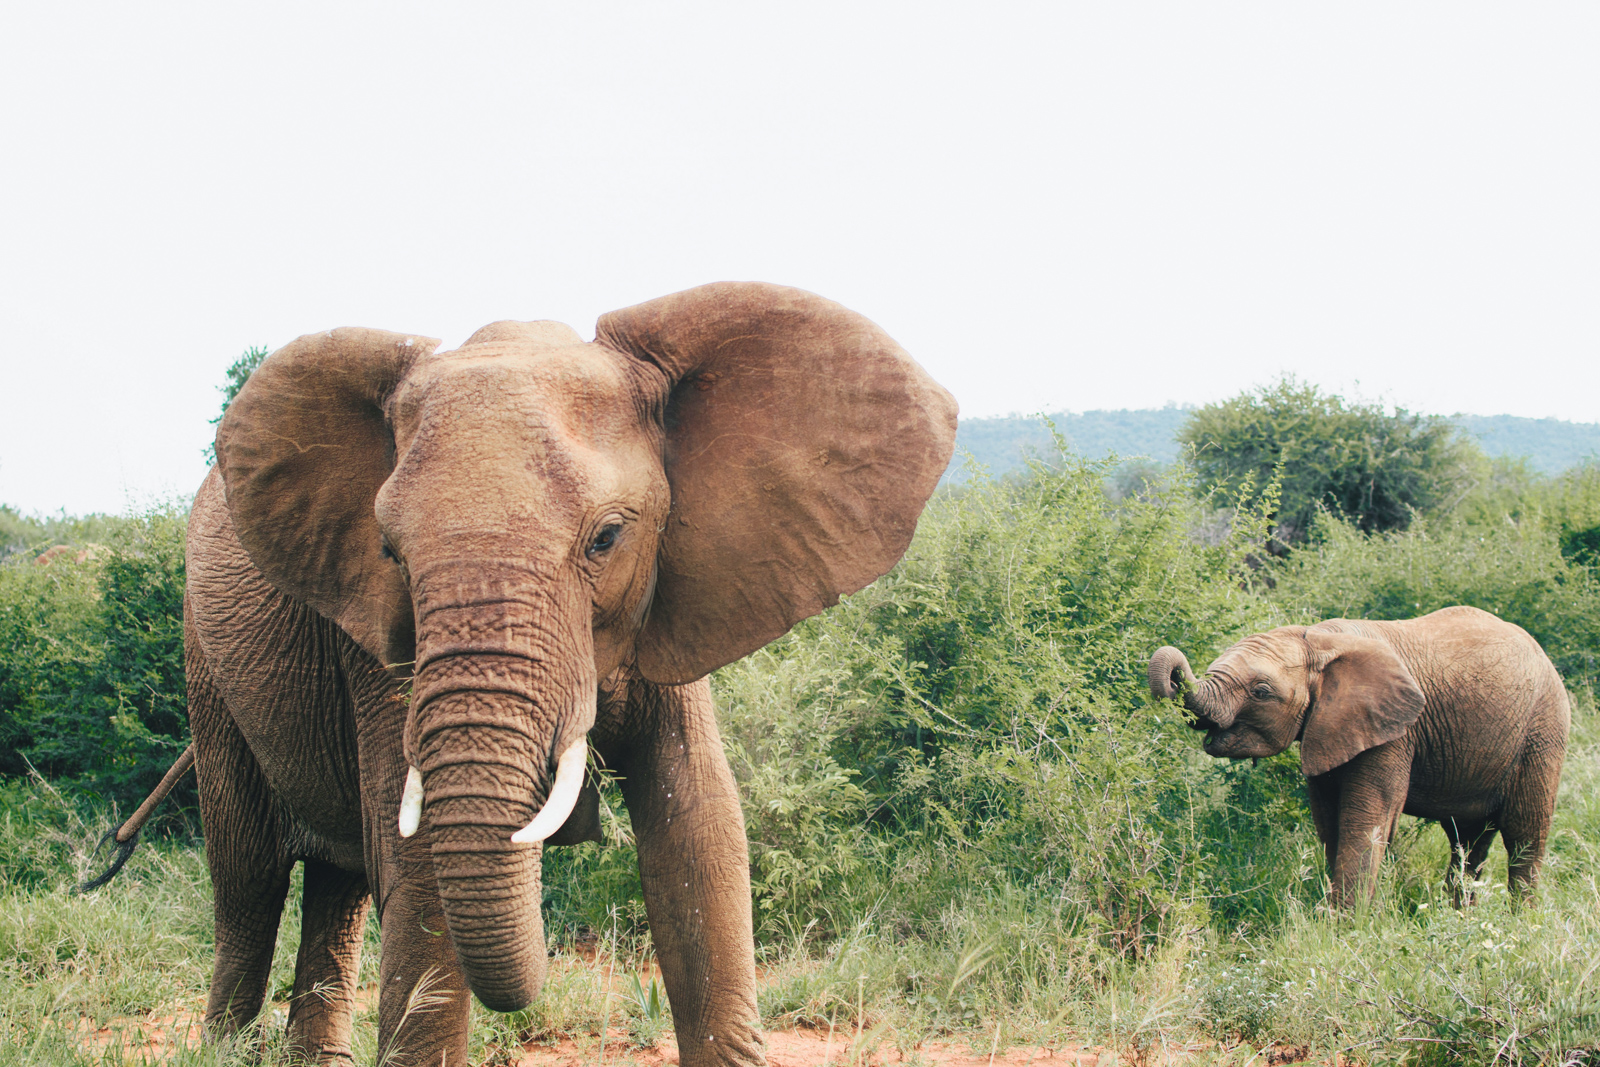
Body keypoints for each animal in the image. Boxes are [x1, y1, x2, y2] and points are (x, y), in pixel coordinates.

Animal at [178, 282, 957, 1065]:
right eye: (391, 553)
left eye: (607, 537)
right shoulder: (376, 637)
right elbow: (416, 860)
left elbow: (698, 826)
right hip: (205, 669)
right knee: (248, 879)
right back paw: (222, 1043)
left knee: (335, 883)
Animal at [1148, 606, 1569, 906]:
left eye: (1261, 692)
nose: (1174, 674)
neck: (1318, 640)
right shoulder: (1327, 726)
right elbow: (1329, 821)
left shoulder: (1396, 733)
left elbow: (1364, 819)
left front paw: (1346, 926)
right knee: (1467, 841)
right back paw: (1459, 921)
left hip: (1542, 731)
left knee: (1524, 835)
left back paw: (1520, 925)